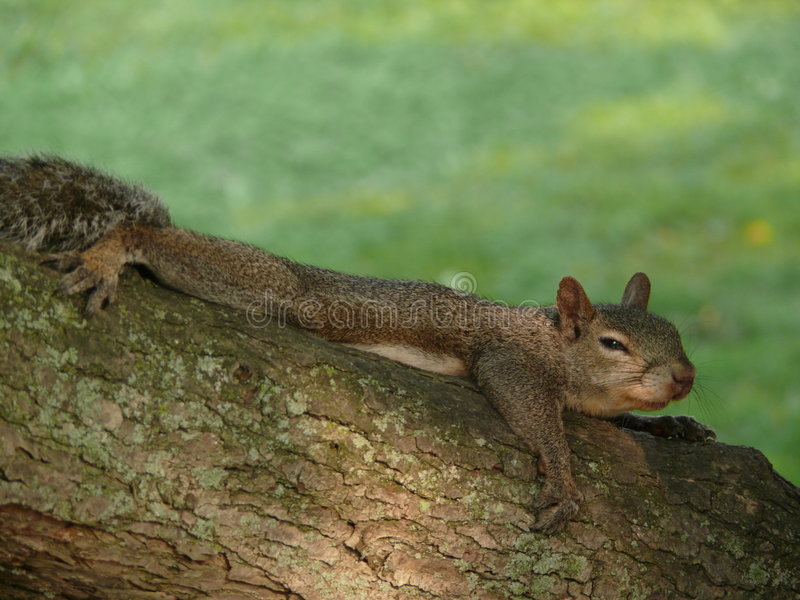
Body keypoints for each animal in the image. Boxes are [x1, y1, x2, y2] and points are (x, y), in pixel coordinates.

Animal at [0, 155, 714, 533]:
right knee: (164, 246)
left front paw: (674, 426)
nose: (683, 378)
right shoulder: (509, 359)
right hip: (281, 290)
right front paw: (564, 478)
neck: (557, 348)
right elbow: (533, 413)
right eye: (613, 344)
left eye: (678, 335)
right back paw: (113, 251)